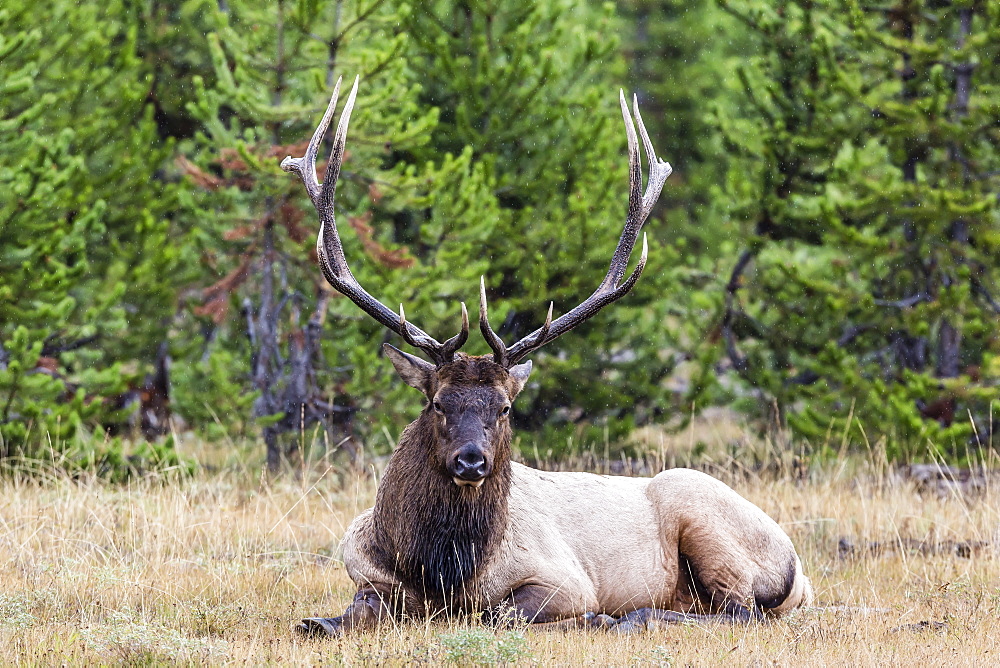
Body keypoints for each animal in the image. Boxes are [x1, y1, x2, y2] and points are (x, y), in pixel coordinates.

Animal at [282, 75, 812, 636]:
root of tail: (799, 570)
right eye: (438, 403)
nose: (472, 460)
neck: (438, 574)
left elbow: (498, 613)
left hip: (702, 513)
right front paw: (318, 621)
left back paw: (633, 616)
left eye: (505, 408)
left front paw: (592, 617)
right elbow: (348, 612)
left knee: (738, 611)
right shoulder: (365, 573)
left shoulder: (565, 579)